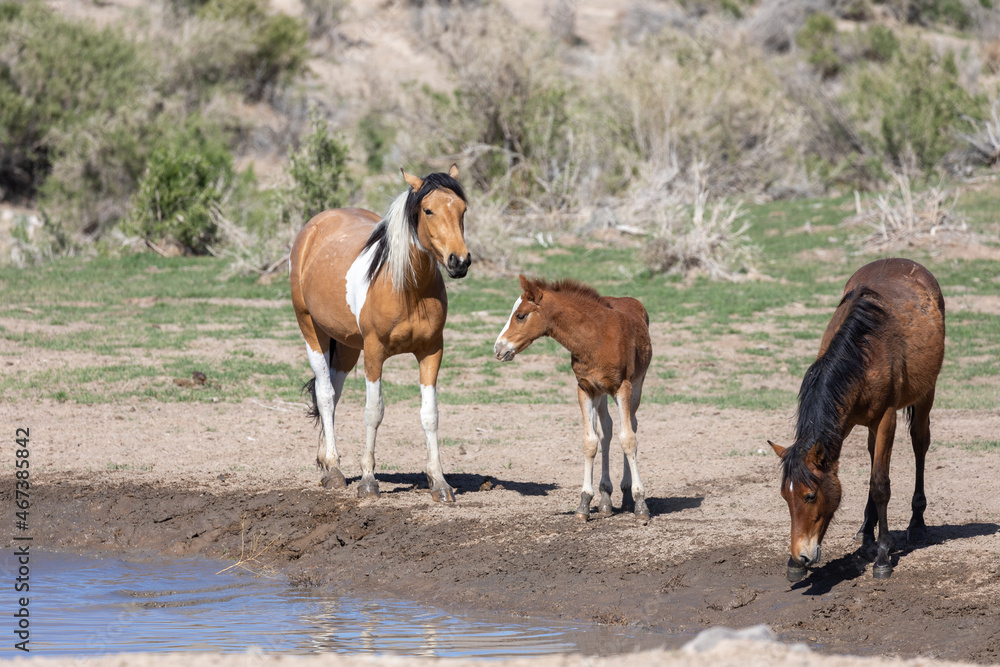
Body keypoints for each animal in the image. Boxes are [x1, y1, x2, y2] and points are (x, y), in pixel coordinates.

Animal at [289, 165, 471, 502]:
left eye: (462, 209)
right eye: (428, 210)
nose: (459, 261)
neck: (407, 288)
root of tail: (313, 227)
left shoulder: (431, 351)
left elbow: (430, 414)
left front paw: (439, 482)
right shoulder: (374, 353)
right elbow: (374, 411)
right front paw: (368, 480)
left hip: (347, 346)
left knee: (332, 393)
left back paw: (326, 461)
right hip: (312, 330)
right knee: (325, 393)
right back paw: (334, 470)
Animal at [494, 275, 653, 523]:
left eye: (520, 315)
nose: (498, 349)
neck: (595, 337)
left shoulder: (623, 388)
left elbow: (628, 439)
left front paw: (640, 504)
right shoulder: (585, 389)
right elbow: (590, 442)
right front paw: (584, 504)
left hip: (637, 385)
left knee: (632, 425)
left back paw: (627, 493)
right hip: (601, 394)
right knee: (607, 430)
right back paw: (606, 498)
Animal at [769, 258, 945, 580]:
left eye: (810, 496)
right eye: (785, 497)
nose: (800, 555)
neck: (862, 354)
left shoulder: (886, 418)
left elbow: (880, 485)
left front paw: (883, 557)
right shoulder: (845, 421)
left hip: (926, 393)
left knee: (919, 443)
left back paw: (916, 523)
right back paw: (866, 532)